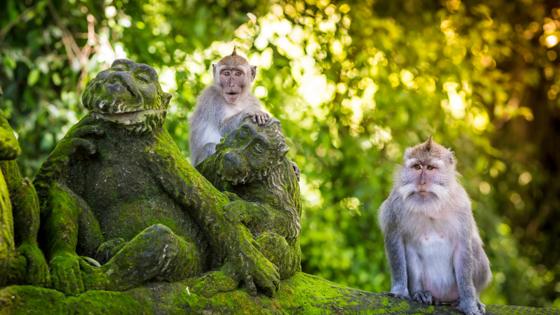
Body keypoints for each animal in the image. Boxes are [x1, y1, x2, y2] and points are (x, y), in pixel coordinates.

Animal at [378, 138, 492, 315]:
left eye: (431, 168)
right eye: (417, 167)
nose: (422, 182)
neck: (430, 206)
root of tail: (443, 298)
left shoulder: (462, 206)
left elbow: (464, 247)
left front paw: (470, 304)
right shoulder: (395, 206)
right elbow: (395, 241)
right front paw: (399, 290)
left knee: (474, 246)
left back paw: (472, 298)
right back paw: (420, 293)